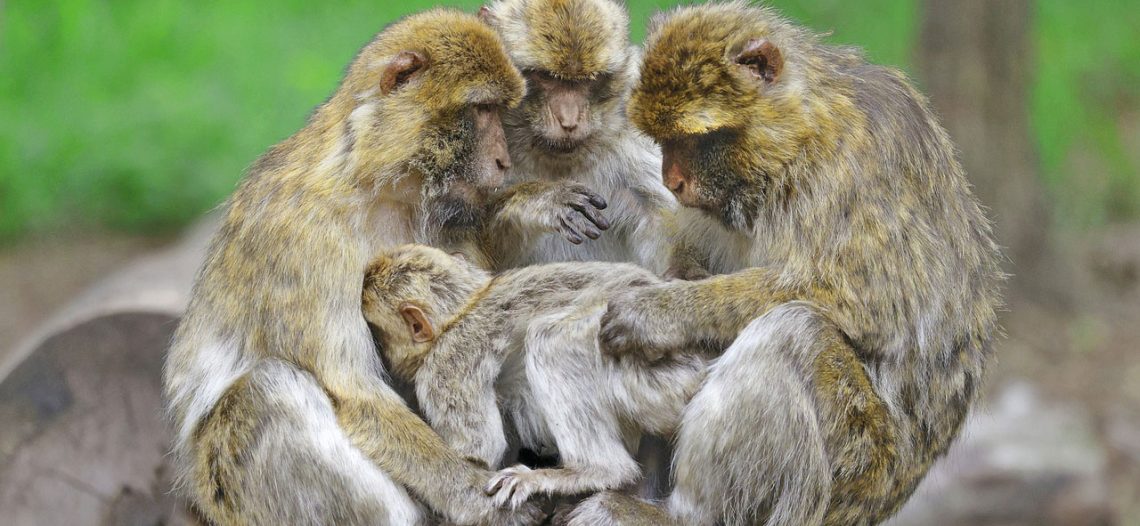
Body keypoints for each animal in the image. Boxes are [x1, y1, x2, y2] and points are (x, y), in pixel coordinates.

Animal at [160, 10, 554, 526]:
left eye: (500, 112)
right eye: (482, 110)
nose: (504, 160)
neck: (376, 184)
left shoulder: (455, 223)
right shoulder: (307, 241)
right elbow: (354, 391)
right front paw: (476, 497)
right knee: (267, 391)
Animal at [360, 244, 707, 509]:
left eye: (379, 334)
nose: (384, 356)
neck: (465, 308)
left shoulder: (444, 366)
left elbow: (479, 451)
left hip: (652, 375)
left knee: (550, 339)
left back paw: (594, 471)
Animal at [562, 3, 1005, 526]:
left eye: (697, 140)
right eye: (661, 140)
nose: (673, 180)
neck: (799, 138)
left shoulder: (853, 165)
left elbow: (868, 303)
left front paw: (661, 313)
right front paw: (676, 282)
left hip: (854, 463)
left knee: (794, 333)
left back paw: (683, 513)